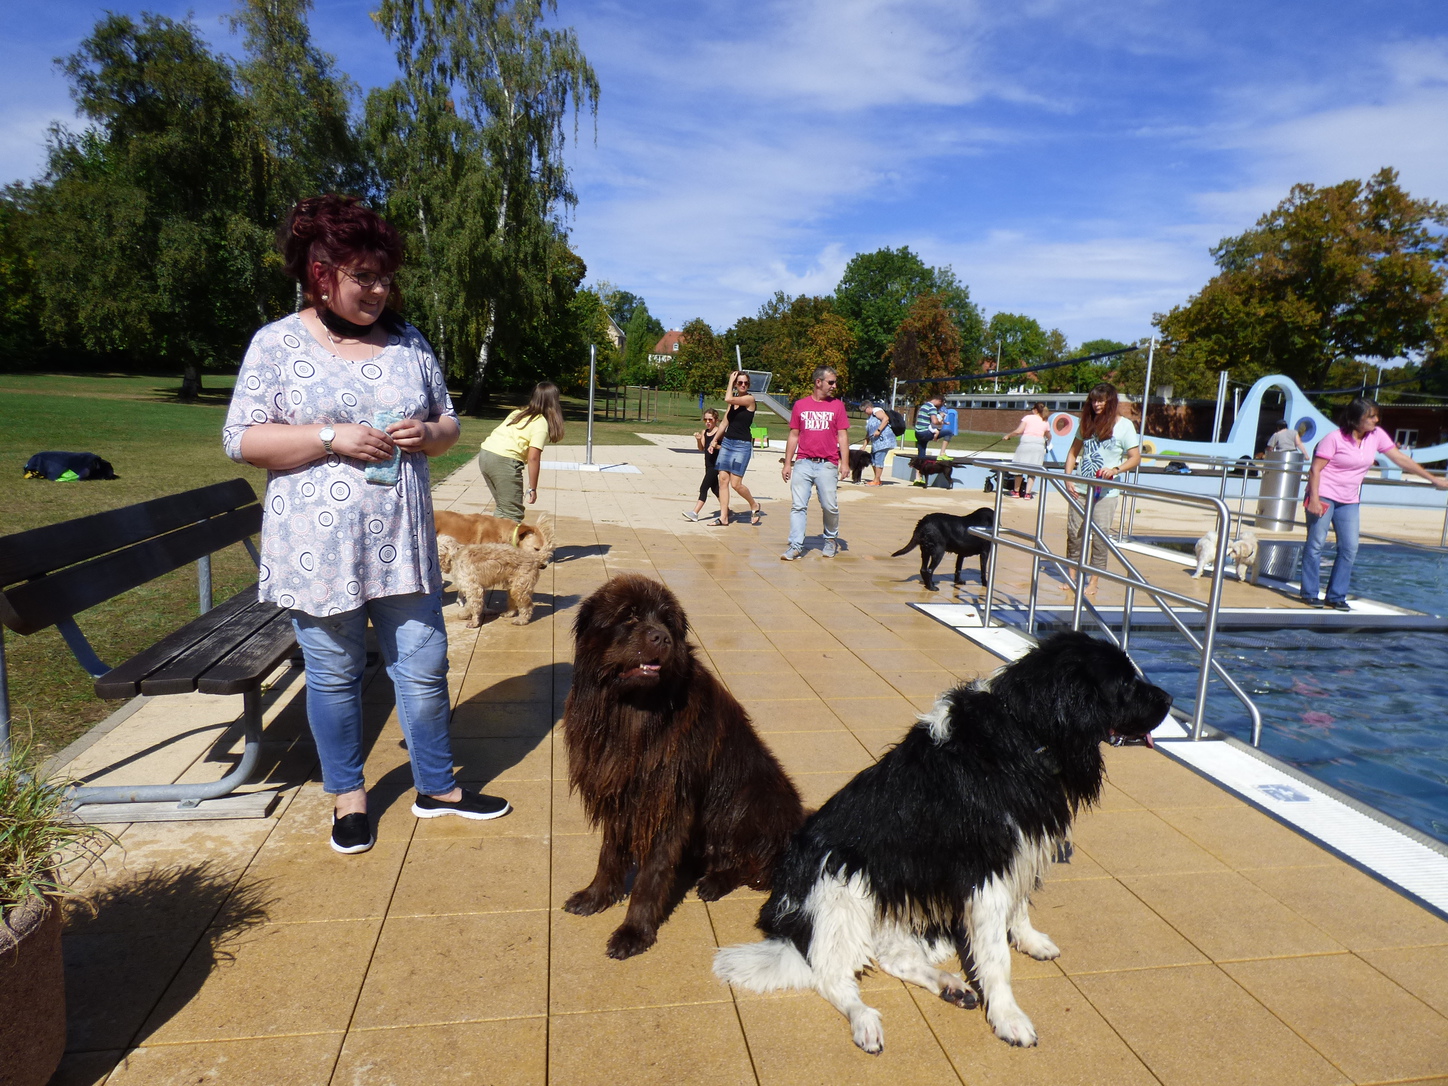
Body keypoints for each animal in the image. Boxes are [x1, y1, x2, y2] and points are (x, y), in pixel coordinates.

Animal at [558, 573, 805, 955]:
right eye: (630, 616)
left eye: (667, 621)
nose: (661, 637)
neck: (632, 713)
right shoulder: (619, 792)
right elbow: (609, 854)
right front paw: (596, 896)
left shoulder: (667, 799)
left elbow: (651, 875)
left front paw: (634, 931)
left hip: (753, 799)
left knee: (753, 863)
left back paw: (714, 881)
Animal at [712, 637, 1175, 1054]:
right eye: (1126, 683)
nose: (1171, 698)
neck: (1025, 731)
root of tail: (787, 924)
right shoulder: (984, 869)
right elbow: (997, 958)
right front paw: (1009, 1018)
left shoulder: (1015, 852)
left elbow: (1020, 907)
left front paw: (1031, 941)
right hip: (844, 884)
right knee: (831, 975)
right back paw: (866, 1021)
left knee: (892, 957)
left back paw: (951, 985)